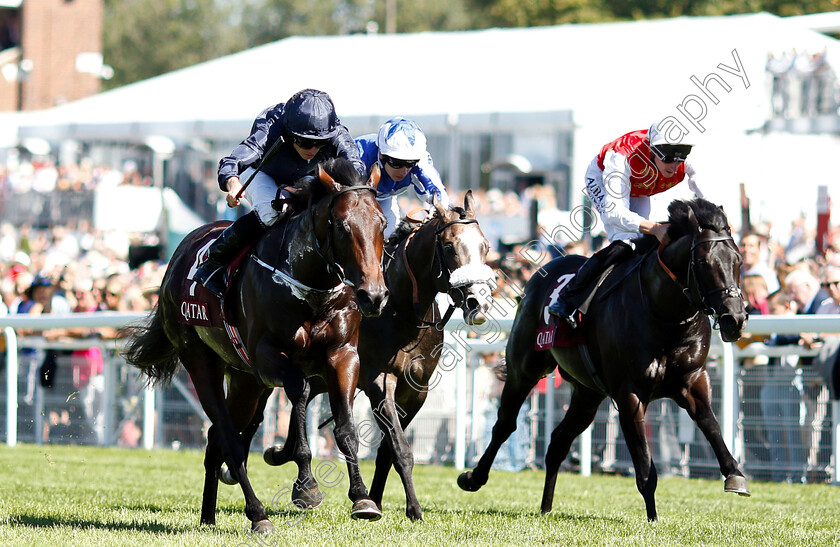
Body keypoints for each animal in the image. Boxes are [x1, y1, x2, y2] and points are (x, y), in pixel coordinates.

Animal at [122, 159, 390, 536]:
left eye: (381, 222)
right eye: (341, 225)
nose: (374, 296)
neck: (311, 287)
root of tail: (178, 256)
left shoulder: (343, 355)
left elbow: (346, 427)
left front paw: (363, 498)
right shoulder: (267, 357)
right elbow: (300, 391)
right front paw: (306, 487)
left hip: (245, 380)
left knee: (215, 440)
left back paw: (208, 517)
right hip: (202, 362)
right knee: (229, 441)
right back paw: (258, 514)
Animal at [260, 191, 498, 520]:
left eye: (485, 246)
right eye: (450, 247)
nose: (479, 302)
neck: (402, 311)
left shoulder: (416, 390)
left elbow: (387, 451)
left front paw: (377, 499)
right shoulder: (379, 382)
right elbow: (400, 449)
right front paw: (414, 508)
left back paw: (279, 454)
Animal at [460, 200, 748, 524]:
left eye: (738, 260)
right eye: (703, 262)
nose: (734, 319)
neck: (664, 314)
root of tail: (538, 275)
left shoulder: (693, 380)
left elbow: (711, 425)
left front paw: (735, 474)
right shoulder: (630, 393)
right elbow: (644, 467)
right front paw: (652, 519)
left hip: (587, 393)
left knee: (557, 442)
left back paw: (546, 508)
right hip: (525, 370)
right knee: (505, 424)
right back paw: (473, 478)